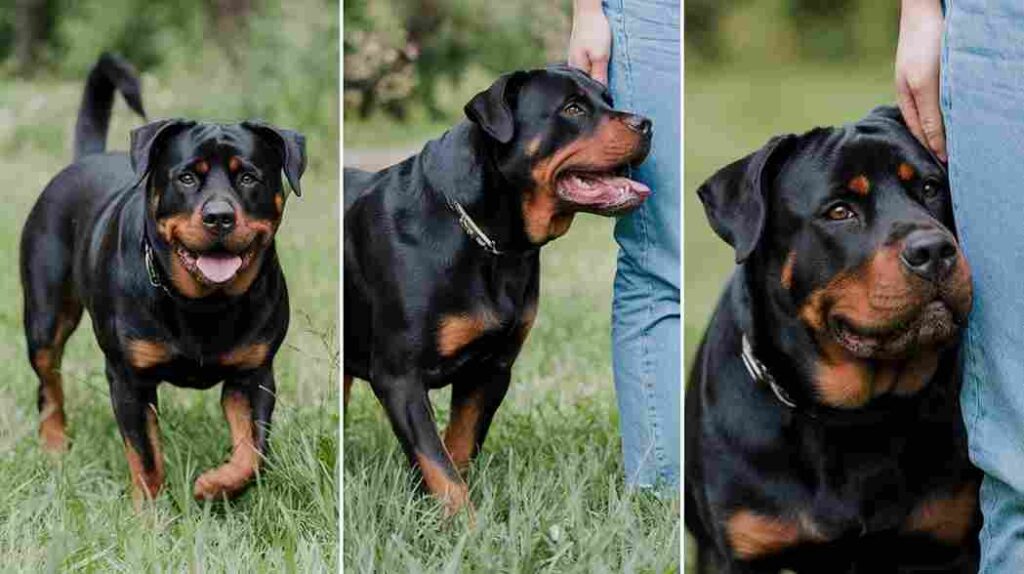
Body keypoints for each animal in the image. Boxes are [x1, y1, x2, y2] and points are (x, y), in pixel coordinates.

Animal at [20, 53, 303, 501]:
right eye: (186, 177)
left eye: (248, 177)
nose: (219, 216)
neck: (202, 304)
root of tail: (85, 158)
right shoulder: (128, 380)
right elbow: (147, 457)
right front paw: (152, 513)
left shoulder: (254, 375)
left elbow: (253, 452)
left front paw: (216, 484)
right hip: (45, 320)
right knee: (49, 385)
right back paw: (53, 445)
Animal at [342, 64, 647, 511]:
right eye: (572, 109)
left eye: (608, 99)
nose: (646, 123)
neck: (489, 240)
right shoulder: (399, 377)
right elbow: (440, 467)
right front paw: (464, 522)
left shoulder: (491, 370)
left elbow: (457, 451)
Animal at [684, 106, 978, 568]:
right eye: (839, 212)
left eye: (931, 188)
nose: (933, 251)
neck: (854, 418)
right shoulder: (733, 553)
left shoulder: (947, 542)